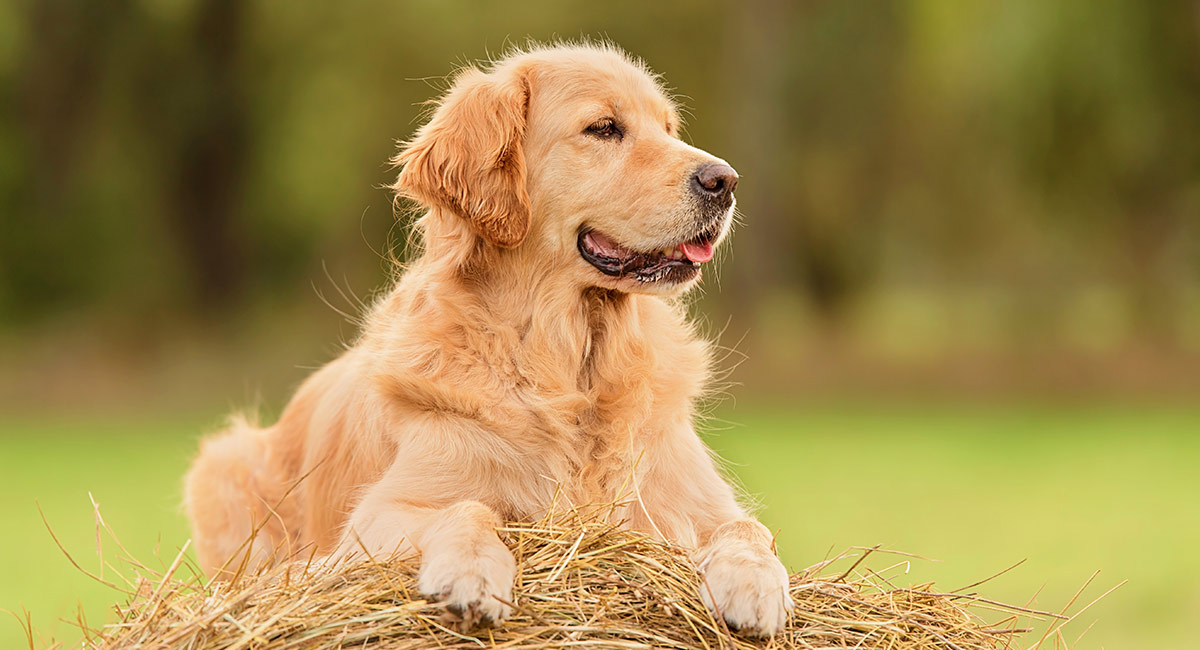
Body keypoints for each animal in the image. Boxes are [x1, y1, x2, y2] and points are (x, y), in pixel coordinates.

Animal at [182, 43, 792, 638]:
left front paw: (755, 586)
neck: (571, 364)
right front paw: (471, 572)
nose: (725, 181)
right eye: (603, 128)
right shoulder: (378, 515)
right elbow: (468, 511)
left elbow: (748, 529)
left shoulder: (694, 502)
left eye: (668, 128)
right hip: (224, 463)